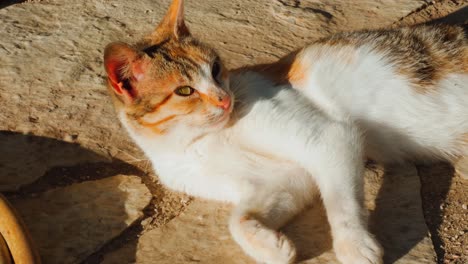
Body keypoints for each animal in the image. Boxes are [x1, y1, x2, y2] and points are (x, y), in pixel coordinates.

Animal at [103, 1, 468, 262]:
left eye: (216, 69)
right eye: (184, 91)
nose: (224, 99)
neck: (196, 142)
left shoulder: (328, 139)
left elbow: (341, 202)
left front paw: (354, 246)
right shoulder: (284, 181)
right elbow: (239, 219)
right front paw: (272, 247)